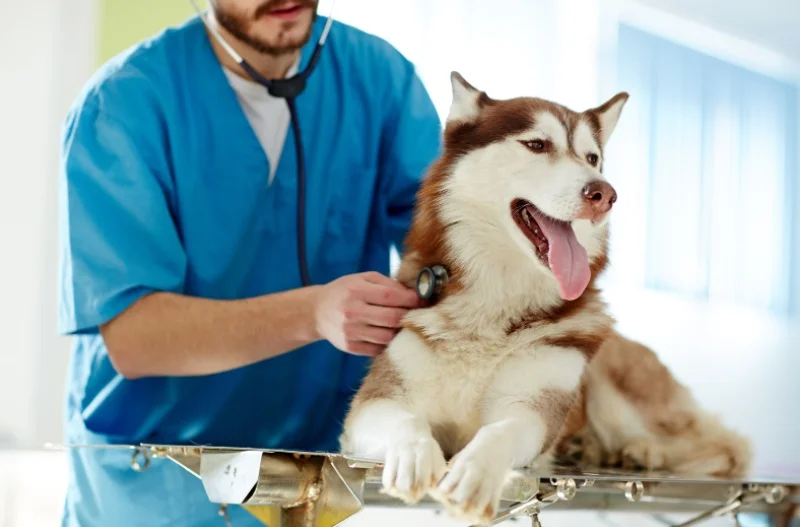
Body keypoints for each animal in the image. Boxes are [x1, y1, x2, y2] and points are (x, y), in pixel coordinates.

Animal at [340, 72, 752, 524]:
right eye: (537, 144)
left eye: (592, 158)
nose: (605, 194)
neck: (497, 301)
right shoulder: (373, 405)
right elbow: (406, 423)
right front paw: (414, 455)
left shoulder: (531, 408)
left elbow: (501, 431)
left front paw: (475, 471)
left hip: (618, 394)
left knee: (729, 447)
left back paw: (644, 451)